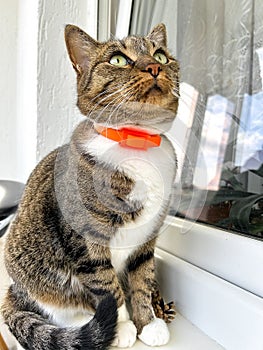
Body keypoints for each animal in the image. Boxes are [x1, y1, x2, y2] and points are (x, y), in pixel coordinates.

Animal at [1, 23, 179, 348]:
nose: (154, 66)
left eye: (161, 54)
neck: (136, 142)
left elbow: (142, 280)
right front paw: (122, 329)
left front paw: (149, 323)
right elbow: (108, 287)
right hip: (37, 278)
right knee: (60, 311)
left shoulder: (146, 240)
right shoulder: (87, 241)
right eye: (118, 59)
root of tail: (13, 291)